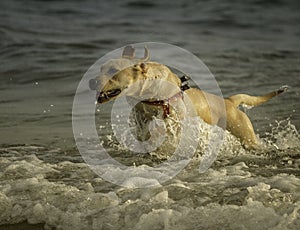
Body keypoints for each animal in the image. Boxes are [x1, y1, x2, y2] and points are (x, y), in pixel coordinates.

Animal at [89, 46, 288, 151]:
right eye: (101, 68)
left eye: (113, 71)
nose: (91, 81)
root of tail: (229, 102)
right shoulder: (142, 122)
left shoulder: (176, 123)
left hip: (246, 136)